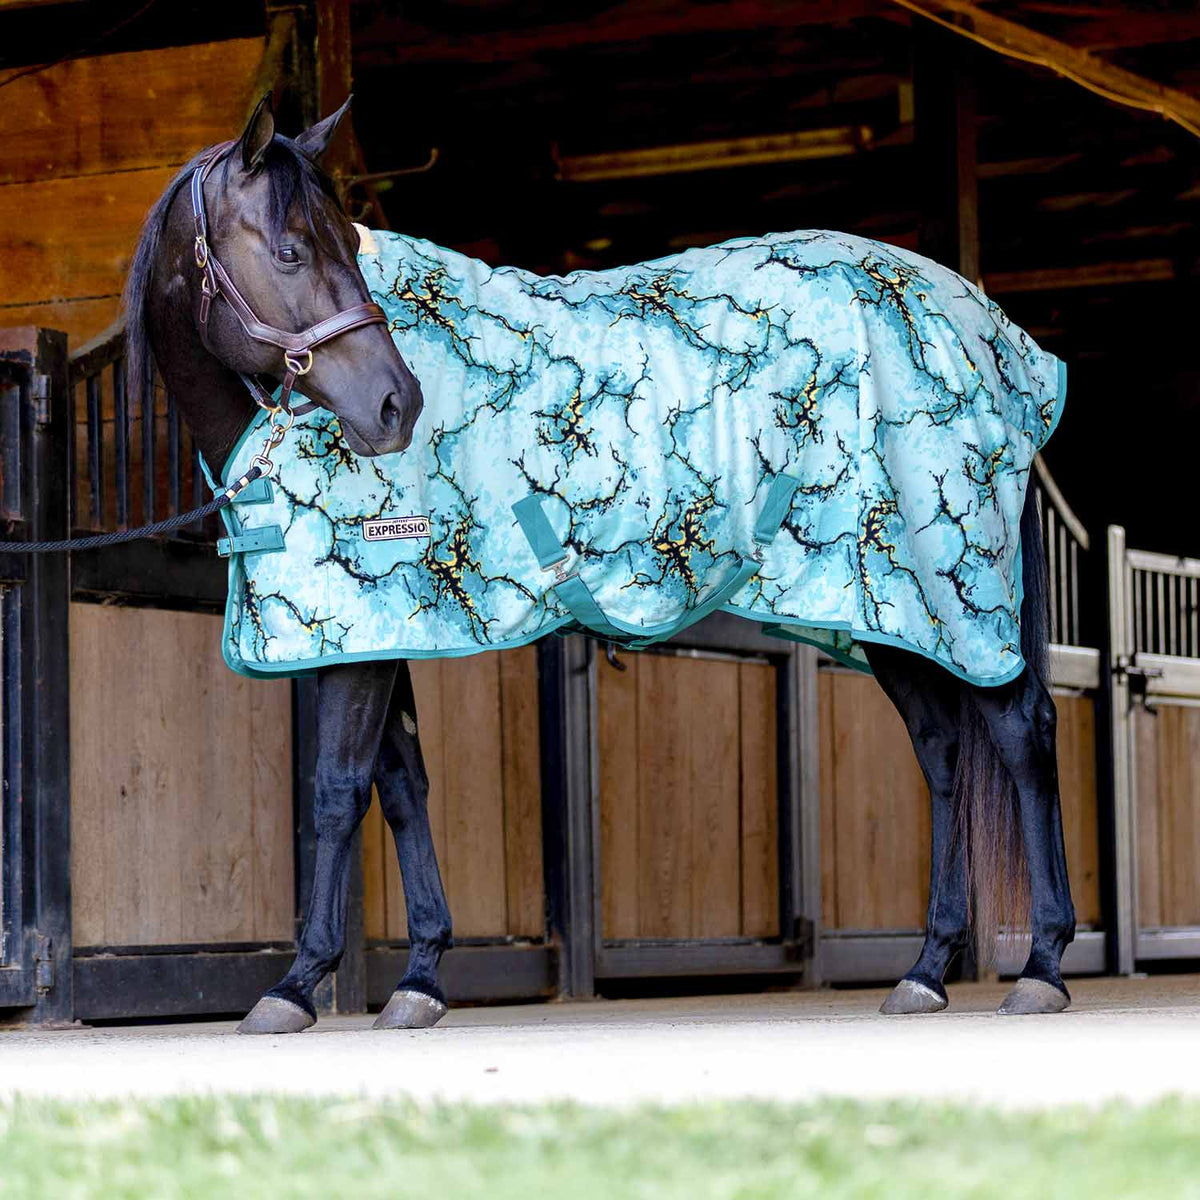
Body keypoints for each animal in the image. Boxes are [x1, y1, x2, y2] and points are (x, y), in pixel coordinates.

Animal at [123, 95, 1076, 1034]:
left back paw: (1041, 965)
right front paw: (421, 977)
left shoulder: (360, 634)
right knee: (945, 756)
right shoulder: (379, 634)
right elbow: (400, 785)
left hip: (947, 588)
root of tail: (992, 337)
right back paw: (926, 970)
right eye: (291, 249)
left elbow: (337, 789)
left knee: (1022, 731)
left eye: (346, 245)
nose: (397, 405)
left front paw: (294, 986)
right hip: (889, 607)